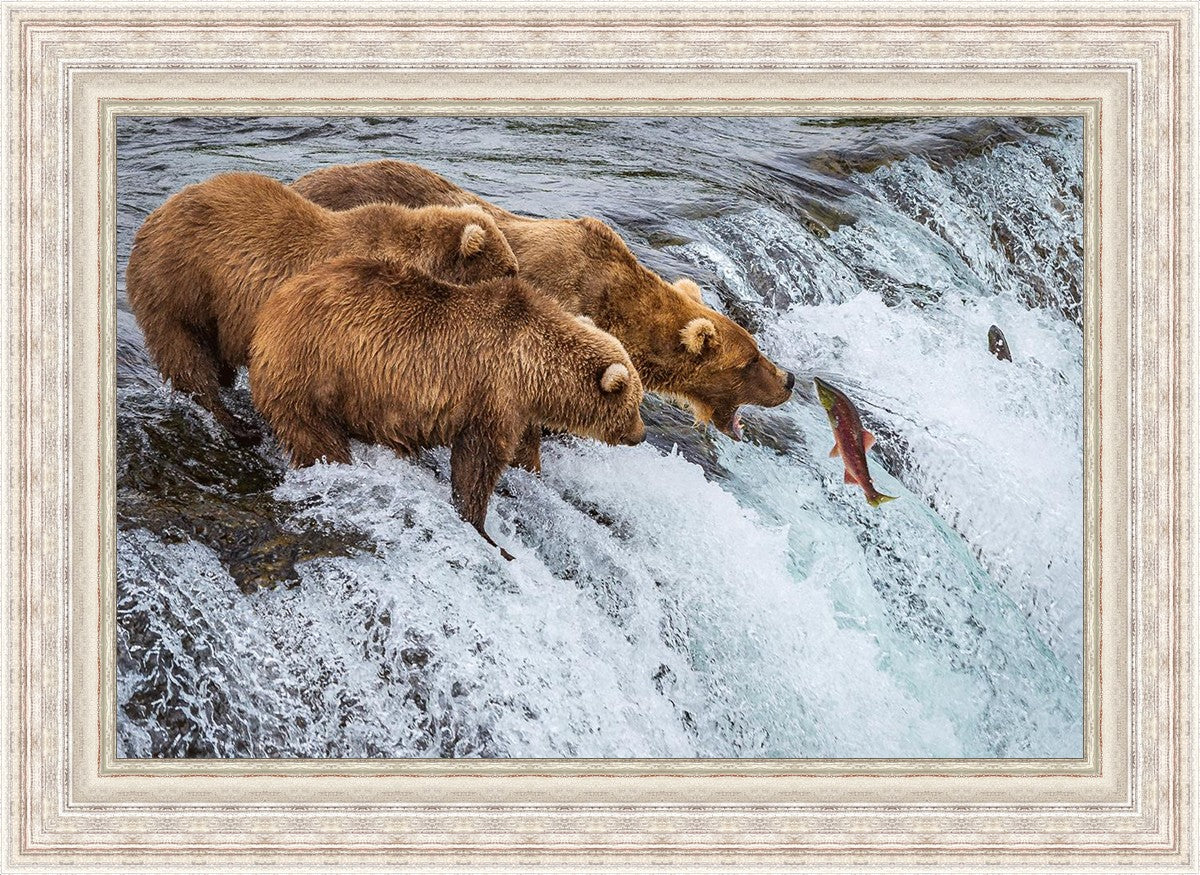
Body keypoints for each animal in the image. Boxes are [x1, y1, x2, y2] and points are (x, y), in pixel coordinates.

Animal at [125, 171, 519, 445]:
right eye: (509, 269)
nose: (520, 284)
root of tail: (153, 217)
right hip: (180, 285)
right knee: (186, 356)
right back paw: (236, 424)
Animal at [248, 255, 646, 559]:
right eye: (635, 403)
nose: (641, 435)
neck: (533, 368)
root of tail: (270, 310)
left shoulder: (518, 408)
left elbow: (522, 450)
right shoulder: (492, 393)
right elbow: (478, 462)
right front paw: (485, 530)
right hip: (313, 373)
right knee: (316, 436)